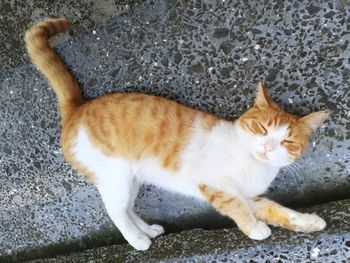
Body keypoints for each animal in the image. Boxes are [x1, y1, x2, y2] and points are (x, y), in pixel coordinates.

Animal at [24, 18, 328, 252]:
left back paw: (147, 230)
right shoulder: (215, 184)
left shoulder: (251, 195)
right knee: (115, 211)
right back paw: (137, 240)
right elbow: (237, 208)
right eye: (262, 128)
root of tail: (77, 108)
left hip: (131, 180)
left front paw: (309, 222)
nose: (267, 146)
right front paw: (255, 229)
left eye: (287, 140)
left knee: (127, 209)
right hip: (115, 177)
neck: (254, 164)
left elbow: (277, 210)